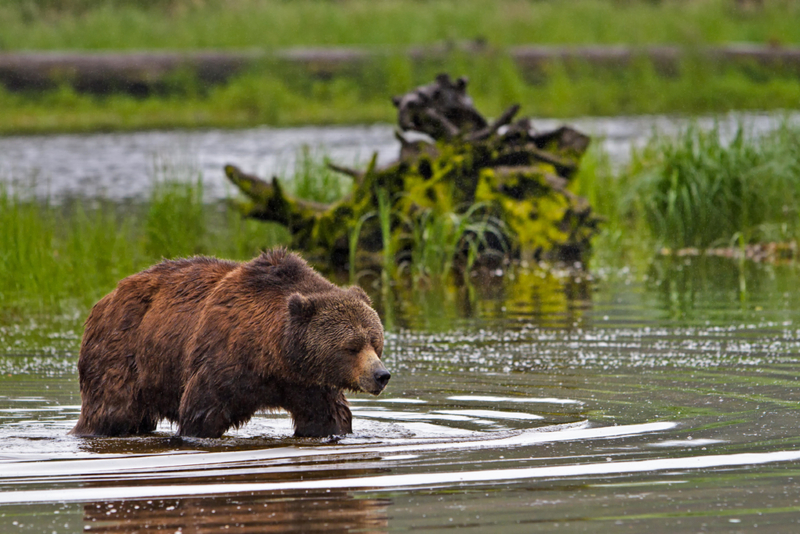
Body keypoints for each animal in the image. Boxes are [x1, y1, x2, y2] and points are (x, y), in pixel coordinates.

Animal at [70, 249, 390, 442]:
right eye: (352, 346)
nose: (381, 375)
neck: (272, 354)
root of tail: (106, 298)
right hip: (122, 353)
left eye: (376, 342)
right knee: (110, 411)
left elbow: (328, 417)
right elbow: (201, 413)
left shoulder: (308, 383)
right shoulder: (222, 360)